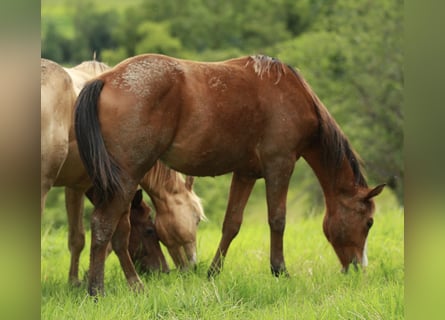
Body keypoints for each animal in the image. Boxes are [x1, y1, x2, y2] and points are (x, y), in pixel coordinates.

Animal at [40, 58, 204, 286]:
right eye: (196, 219)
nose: (190, 267)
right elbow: (116, 235)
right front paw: (131, 281)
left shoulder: (76, 187)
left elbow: (77, 238)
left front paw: (76, 281)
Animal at [74, 53, 384, 296]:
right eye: (368, 222)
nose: (358, 268)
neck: (293, 94)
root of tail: (106, 80)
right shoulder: (280, 165)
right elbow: (277, 219)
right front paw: (279, 270)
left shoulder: (245, 173)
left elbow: (232, 224)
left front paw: (213, 272)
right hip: (127, 178)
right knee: (104, 225)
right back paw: (97, 290)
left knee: (116, 231)